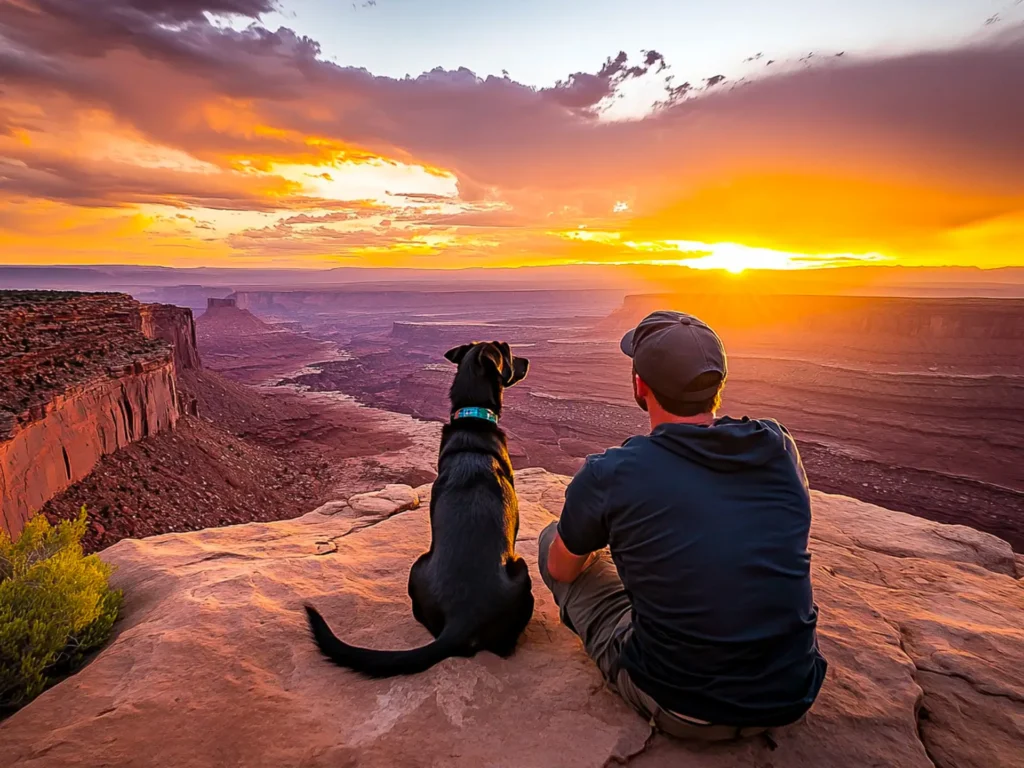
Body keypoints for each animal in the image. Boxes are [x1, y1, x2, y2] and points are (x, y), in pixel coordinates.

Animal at [303, 342, 536, 679]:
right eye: (507, 351)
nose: (528, 360)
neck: (472, 417)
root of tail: (459, 621)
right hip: (521, 572)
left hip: (417, 567)